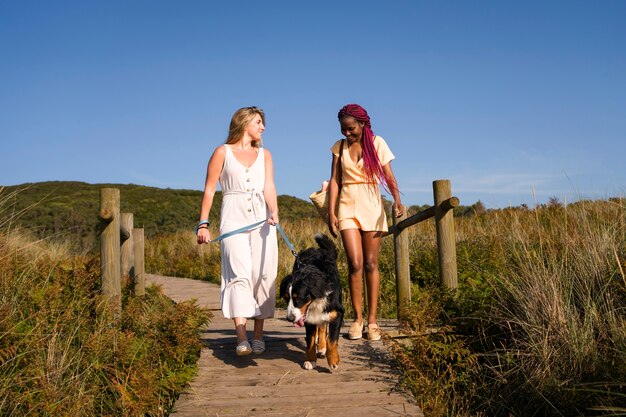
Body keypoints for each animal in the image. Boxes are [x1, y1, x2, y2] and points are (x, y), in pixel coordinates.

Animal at [280, 232, 344, 368]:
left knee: (323, 326)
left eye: (299, 297)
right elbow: (310, 339)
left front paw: (333, 360)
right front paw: (310, 359)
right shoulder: (307, 317)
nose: (290, 318)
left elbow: (332, 339)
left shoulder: (337, 312)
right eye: (286, 298)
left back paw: (323, 348)